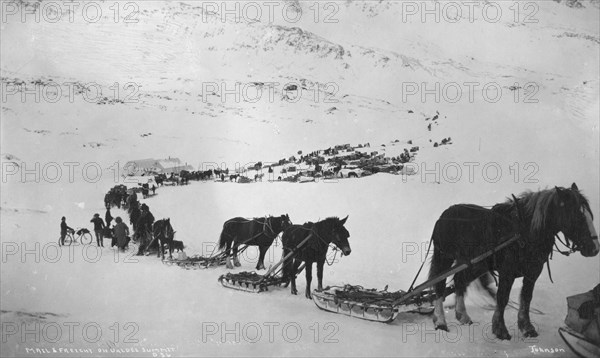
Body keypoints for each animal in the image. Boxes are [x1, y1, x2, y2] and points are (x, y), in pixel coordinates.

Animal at [428, 183, 596, 340]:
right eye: (578, 217)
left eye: (590, 215)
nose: (594, 248)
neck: (524, 232)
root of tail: (445, 214)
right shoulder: (507, 272)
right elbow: (502, 298)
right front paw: (500, 329)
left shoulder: (533, 272)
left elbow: (526, 298)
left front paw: (527, 327)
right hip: (444, 258)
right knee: (439, 285)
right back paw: (441, 321)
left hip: (475, 264)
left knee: (460, 280)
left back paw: (462, 315)